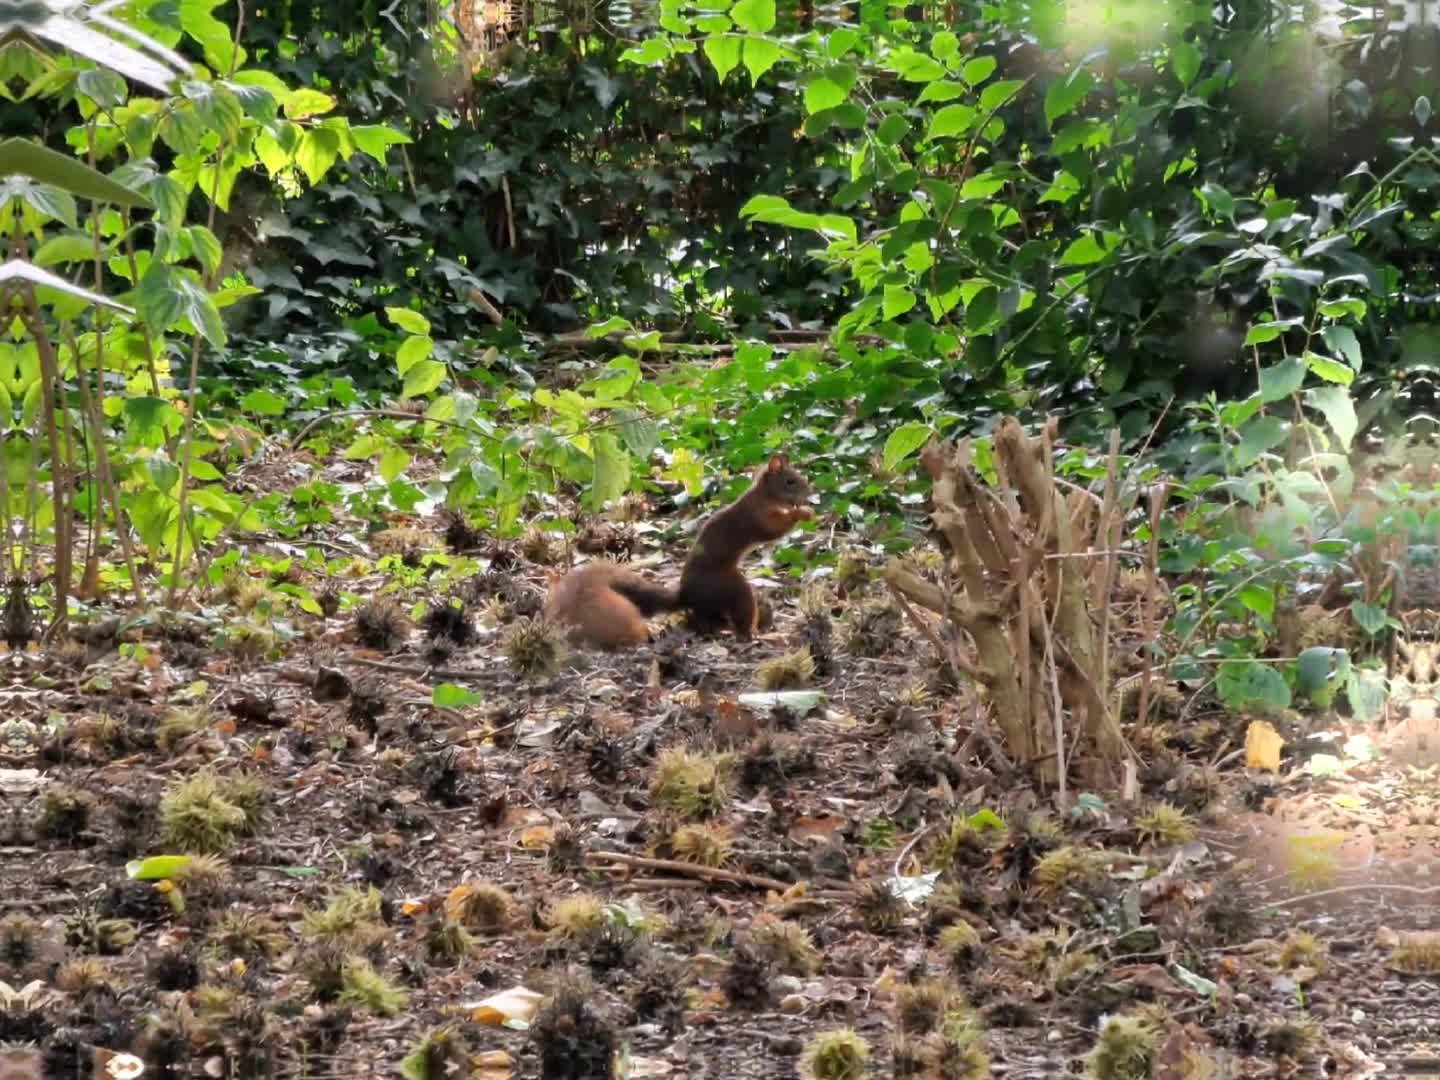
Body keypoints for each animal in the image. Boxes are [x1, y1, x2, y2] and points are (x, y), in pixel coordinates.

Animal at [541, 452, 812, 648]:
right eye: (790, 481)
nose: (810, 494)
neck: (763, 497)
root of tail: (686, 594)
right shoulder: (756, 517)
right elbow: (774, 530)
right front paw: (802, 513)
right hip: (732, 587)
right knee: (740, 622)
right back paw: (759, 636)